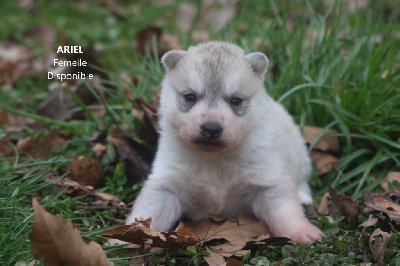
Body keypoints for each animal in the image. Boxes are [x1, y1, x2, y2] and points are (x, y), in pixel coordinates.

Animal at [126, 41, 324, 245]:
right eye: (190, 97)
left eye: (236, 100)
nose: (211, 129)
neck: (215, 159)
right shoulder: (166, 185)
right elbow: (147, 212)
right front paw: (126, 237)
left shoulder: (269, 180)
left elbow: (285, 210)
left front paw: (302, 231)